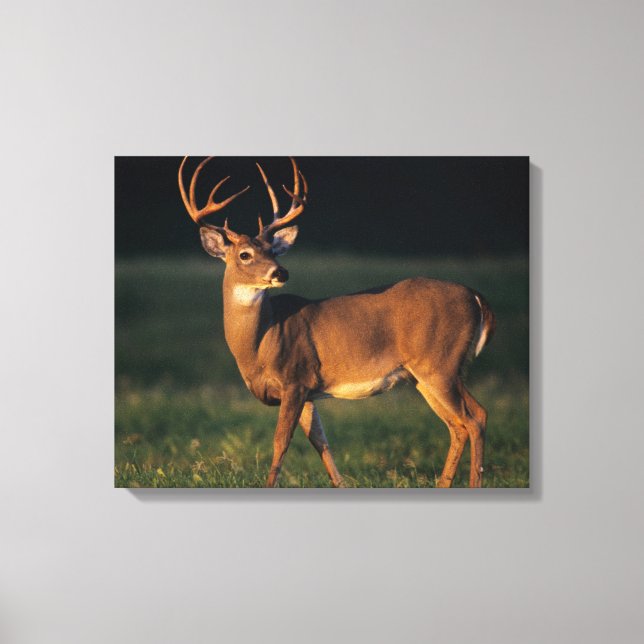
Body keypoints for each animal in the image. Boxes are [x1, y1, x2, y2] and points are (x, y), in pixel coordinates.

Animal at [178, 156, 496, 488]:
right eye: (245, 254)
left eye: (273, 250)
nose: (281, 272)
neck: (260, 343)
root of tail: (475, 297)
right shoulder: (307, 390)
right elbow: (321, 442)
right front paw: (340, 484)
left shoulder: (295, 378)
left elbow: (281, 441)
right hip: (423, 374)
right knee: (458, 424)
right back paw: (443, 484)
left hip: (440, 364)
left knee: (475, 417)